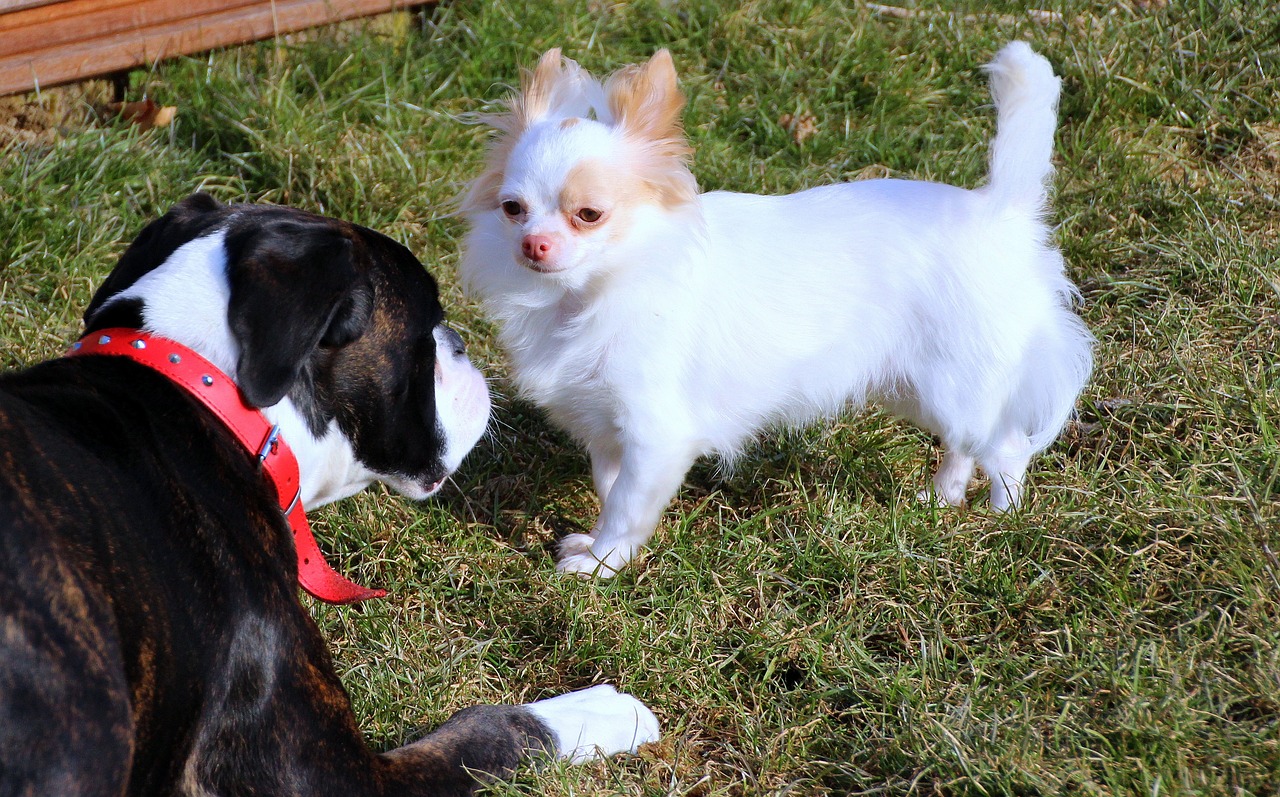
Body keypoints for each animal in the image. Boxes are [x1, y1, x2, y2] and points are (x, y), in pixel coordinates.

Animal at [0, 193, 660, 797]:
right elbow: (493, 730)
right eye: (425, 331)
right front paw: (603, 710)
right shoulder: (336, 774)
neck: (213, 395)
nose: (461, 344)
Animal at [460, 43, 1090, 575]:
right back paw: (941, 500)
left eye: (588, 215)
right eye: (513, 209)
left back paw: (1001, 521)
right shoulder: (605, 425)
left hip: (957, 380)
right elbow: (607, 485)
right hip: (919, 385)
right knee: (962, 442)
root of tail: (999, 210)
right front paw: (593, 546)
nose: (534, 245)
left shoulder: (656, 434)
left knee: (1005, 447)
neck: (591, 292)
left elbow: (626, 506)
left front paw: (601, 565)